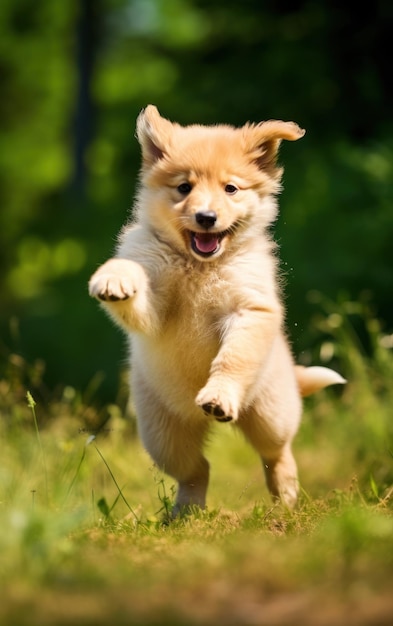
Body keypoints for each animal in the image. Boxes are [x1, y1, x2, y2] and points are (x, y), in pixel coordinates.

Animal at [88, 103, 344, 512]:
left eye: (230, 188)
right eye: (184, 187)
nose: (206, 217)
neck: (200, 266)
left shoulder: (249, 311)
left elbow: (232, 357)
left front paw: (219, 395)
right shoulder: (156, 306)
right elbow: (136, 282)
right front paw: (115, 279)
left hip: (270, 410)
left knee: (276, 452)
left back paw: (286, 497)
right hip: (162, 432)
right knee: (196, 469)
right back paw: (186, 512)